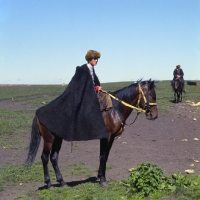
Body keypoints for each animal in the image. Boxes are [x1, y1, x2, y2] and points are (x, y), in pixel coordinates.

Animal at [25, 79, 158, 188]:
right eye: (151, 95)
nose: (155, 115)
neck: (113, 109)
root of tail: (39, 112)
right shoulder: (106, 137)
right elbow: (103, 156)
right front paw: (103, 180)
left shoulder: (111, 138)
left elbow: (105, 156)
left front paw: (100, 176)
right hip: (49, 139)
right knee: (44, 157)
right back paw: (49, 184)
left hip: (58, 138)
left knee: (54, 157)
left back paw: (62, 182)